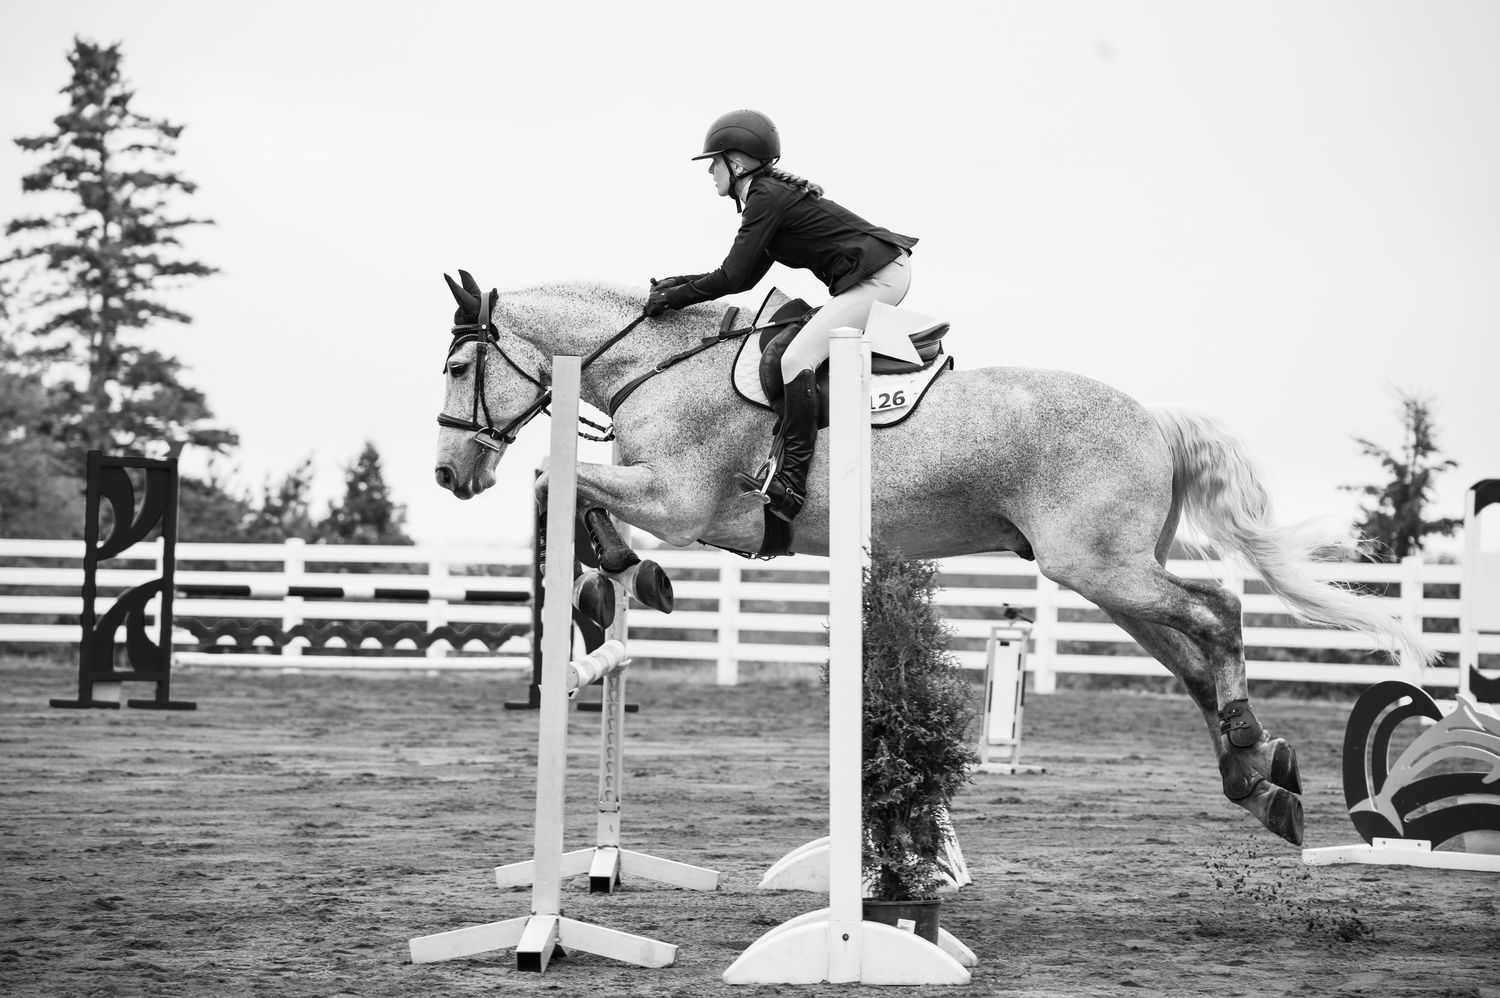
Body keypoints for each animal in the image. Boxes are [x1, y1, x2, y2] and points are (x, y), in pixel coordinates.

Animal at [432, 271, 1432, 847]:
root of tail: (1153, 417)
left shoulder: (683, 501)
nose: (450, 475)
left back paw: (1251, 755)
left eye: (455, 366)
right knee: (1191, 646)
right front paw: (620, 576)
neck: (663, 366)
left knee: (1216, 616)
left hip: (1095, 565)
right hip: (1102, 573)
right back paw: (1258, 777)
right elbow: (564, 490)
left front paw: (636, 573)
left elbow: (563, 487)